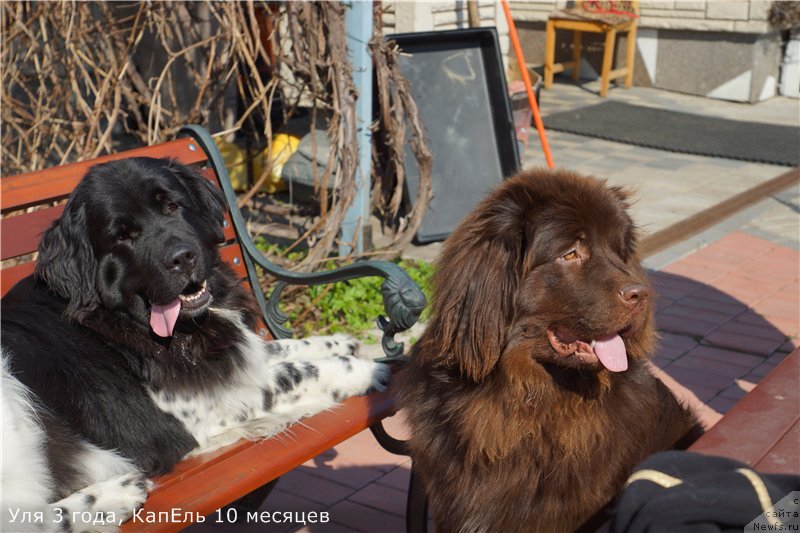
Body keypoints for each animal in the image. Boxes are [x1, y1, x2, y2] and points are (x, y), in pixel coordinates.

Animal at [0, 157, 388, 528]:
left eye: (173, 206)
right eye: (122, 236)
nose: (182, 257)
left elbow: (277, 350)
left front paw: (341, 343)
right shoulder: (204, 410)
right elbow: (294, 373)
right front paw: (364, 371)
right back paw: (112, 497)